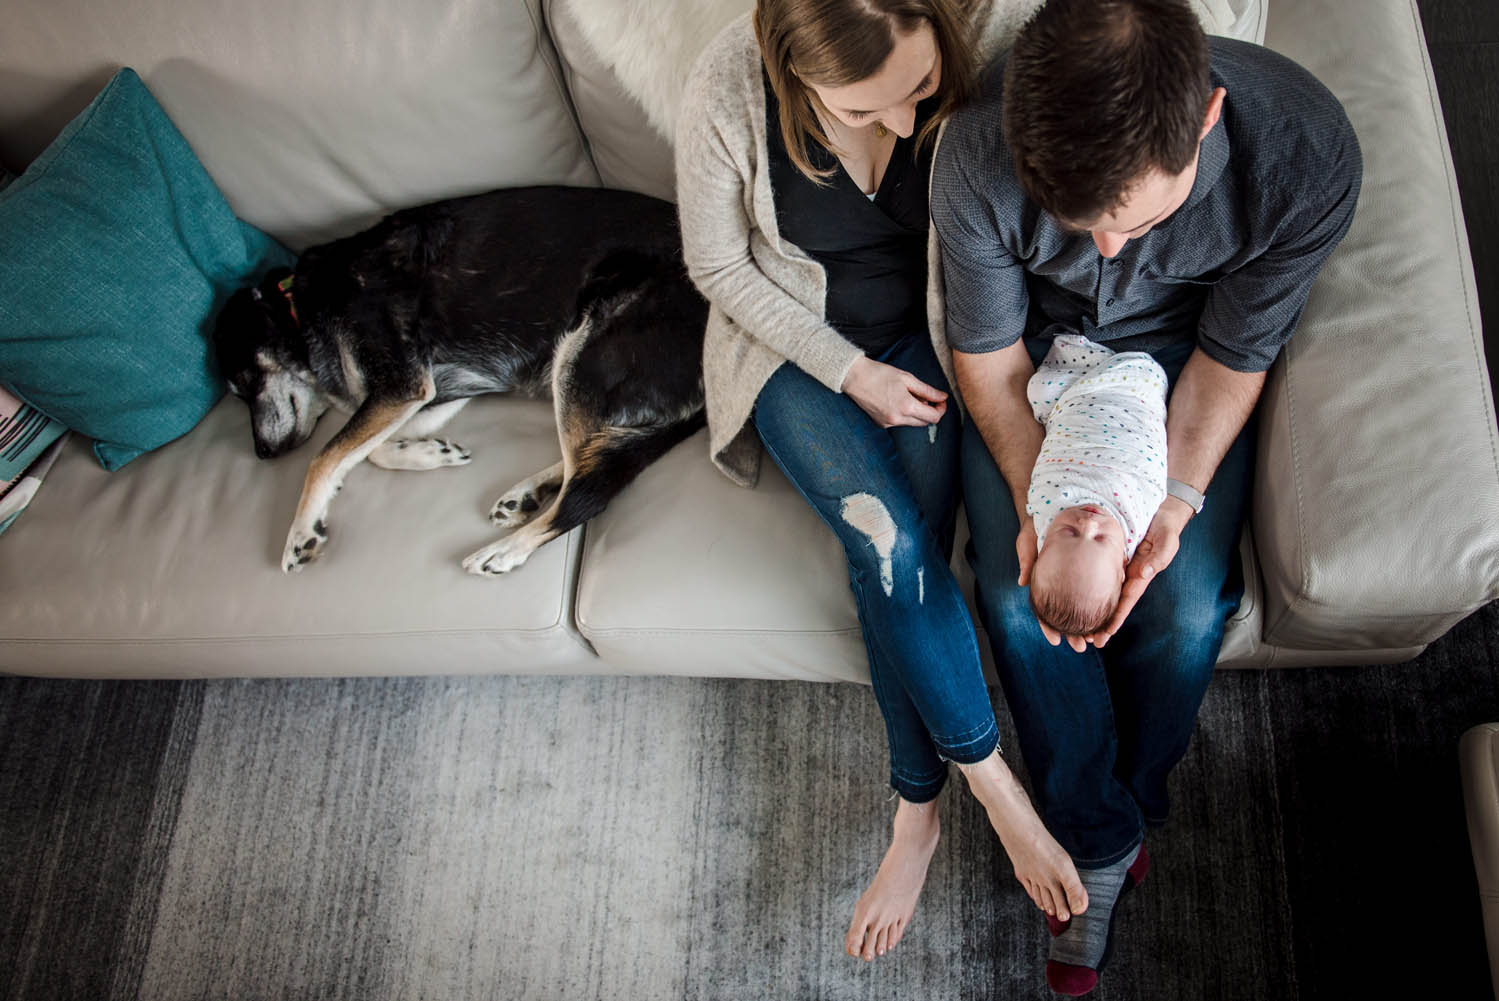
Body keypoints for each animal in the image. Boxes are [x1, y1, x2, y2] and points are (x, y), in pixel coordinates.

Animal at [214, 186, 710, 575]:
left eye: (242, 381)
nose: (262, 454)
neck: (301, 305)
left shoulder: (401, 386)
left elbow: (325, 455)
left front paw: (301, 533)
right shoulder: (430, 395)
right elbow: (364, 451)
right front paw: (427, 454)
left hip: (581, 351)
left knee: (589, 488)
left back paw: (505, 550)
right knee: (593, 455)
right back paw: (528, 494)